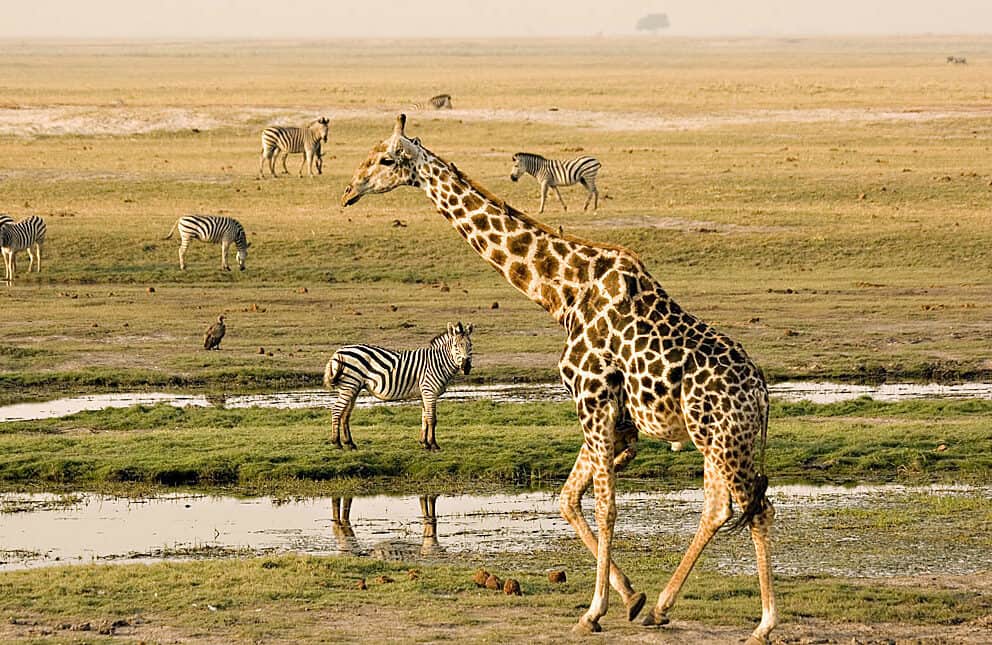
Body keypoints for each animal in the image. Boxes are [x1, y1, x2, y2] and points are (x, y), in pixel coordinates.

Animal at [323, 321, 474, 451]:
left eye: (470, 345)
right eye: (456, 346)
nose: (466, 367)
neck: (438, 362)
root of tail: (338, 352)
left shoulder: (425, 393)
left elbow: (424, 418)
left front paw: (424, 443)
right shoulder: (429, 391)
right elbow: (432, 418)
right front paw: (434, 444)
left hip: (353, 387)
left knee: (345, 414)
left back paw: (350, 443)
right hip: (349, 385)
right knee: (336, 410)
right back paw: (336, 443)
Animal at [341, 115, 776, 644]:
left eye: (385, 159)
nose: (349, 190)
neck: (563, 294)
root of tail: (761, 393)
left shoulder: (594, 400)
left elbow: (605, 507)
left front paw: (593, 611)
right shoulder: (611, 418)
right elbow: (568, 500)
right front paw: (631, 599)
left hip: (726, 440)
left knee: (756, 508)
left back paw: (764, 624)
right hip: (714, 440)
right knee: (720, 508)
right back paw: (662, 607)